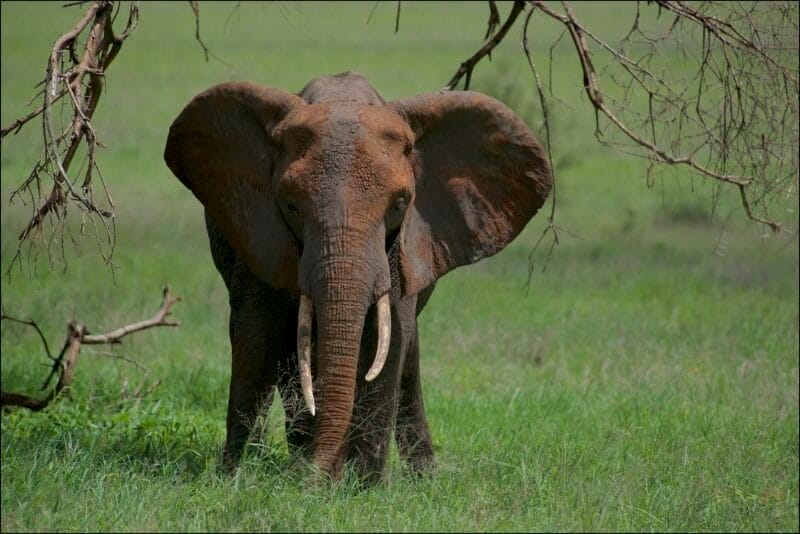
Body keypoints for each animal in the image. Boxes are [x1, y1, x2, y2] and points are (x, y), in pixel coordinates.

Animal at [162, 71, 552, 486]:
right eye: (291, 206)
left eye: (399, 205)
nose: (318, 479)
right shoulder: (258, 233)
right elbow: (256, 335)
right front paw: (230, 477)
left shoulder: (398, 250)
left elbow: (389, 339)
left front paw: (364, 486)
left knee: (407, 358)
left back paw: (421, 477)